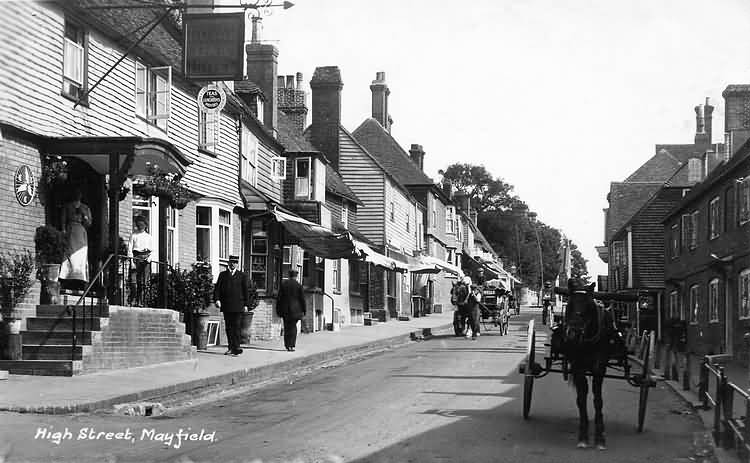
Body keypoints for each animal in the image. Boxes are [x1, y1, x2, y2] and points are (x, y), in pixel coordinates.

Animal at [560, 278, 620, 452]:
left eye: (587, 305)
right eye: (570, 303)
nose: (572, 333)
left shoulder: (599, 367)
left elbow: (598, 399)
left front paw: (600, 437)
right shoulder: (577, 366)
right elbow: (581, 399)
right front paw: (583, 436)